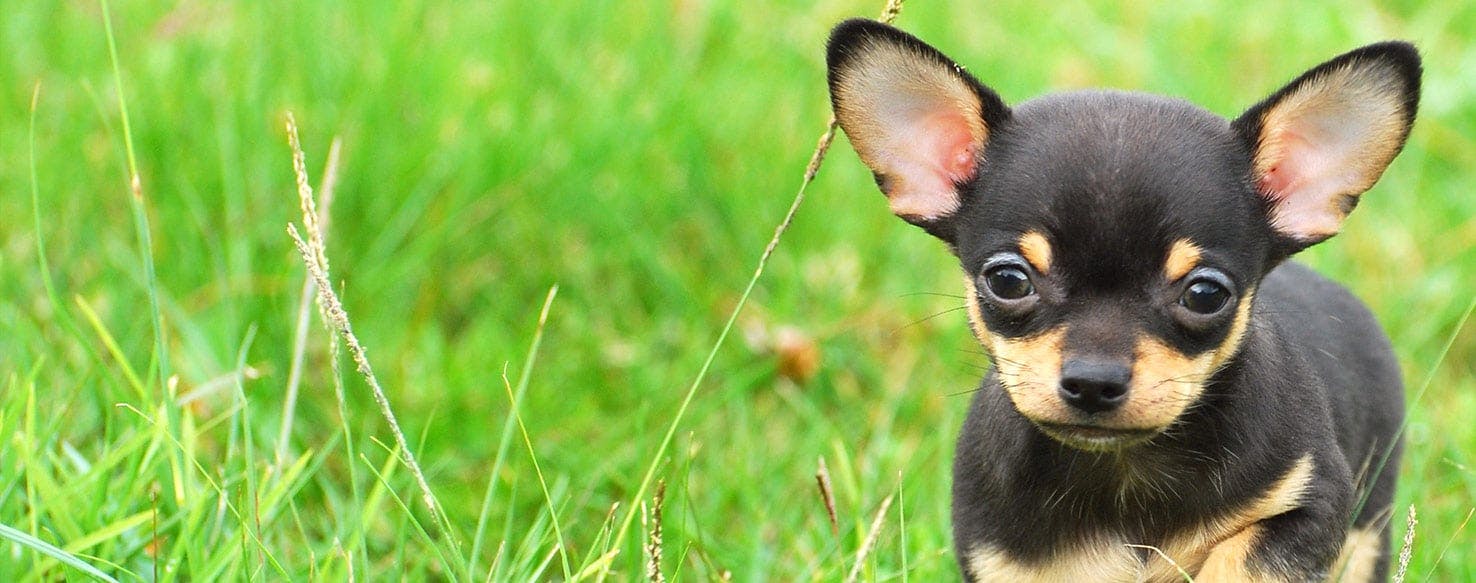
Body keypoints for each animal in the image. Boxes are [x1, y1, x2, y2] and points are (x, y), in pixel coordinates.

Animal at [832, 20, 1416, 581]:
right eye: (1008, 281)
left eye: (1205, 294)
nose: (1094, 381)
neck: (1122, 469)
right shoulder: (1005, 559)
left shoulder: (1311, 503)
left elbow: (1241, 558)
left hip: (1369, 525)